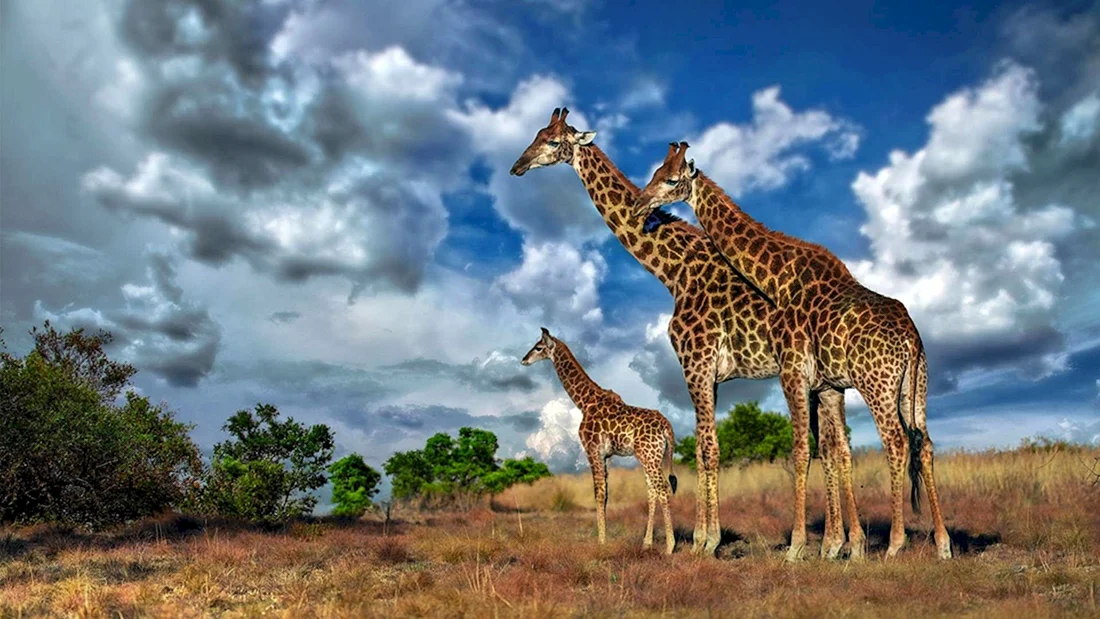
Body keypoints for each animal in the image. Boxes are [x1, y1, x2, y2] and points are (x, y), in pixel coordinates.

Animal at [522, 328, 678, 553]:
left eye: (538, 347)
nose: (524, 360)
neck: (584, 402)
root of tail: (667, 426)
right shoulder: (607, 455)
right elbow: (606, 495)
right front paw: (605, 539)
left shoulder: (592, 449)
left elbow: (598, 493)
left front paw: (601, 542)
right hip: (652, 457)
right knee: (652, 491)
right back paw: (647, 543)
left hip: (648, 455)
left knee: (663, 488)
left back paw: (670, 546)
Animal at [633, 142, 952, 560]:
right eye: (654, 172)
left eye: (671, 179)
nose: (640, 204)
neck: (779, 278)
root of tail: (912, 338)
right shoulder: (823, 383)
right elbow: (830, 451)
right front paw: (835, 546)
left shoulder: (793, 371)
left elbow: (801, 451)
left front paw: (797, 548)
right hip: (914, 386)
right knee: (925, 445)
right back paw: (943, 544)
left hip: (877, 385)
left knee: (897, 443)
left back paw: (895, 545)